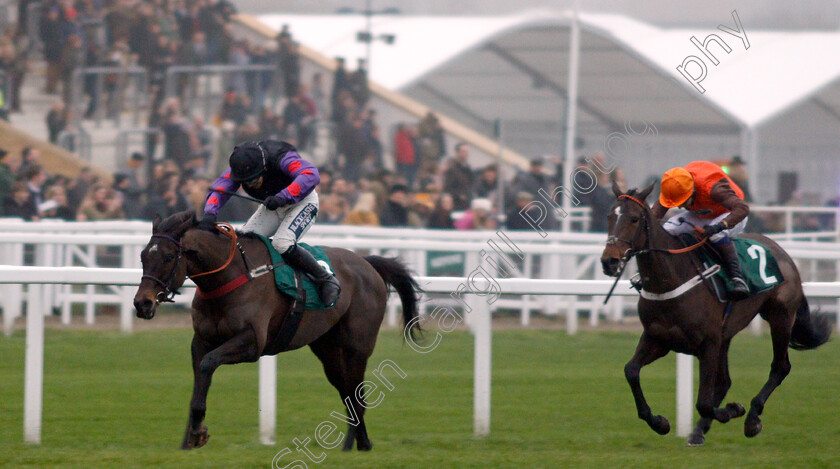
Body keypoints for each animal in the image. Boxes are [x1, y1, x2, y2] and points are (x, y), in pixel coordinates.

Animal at [134, 211, 420, 450]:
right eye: (143, 256)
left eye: (168, 257)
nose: (142, 303)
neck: (231, 276)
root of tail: (367, 262)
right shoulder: (201, 340)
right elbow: (199, 380)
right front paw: (192, 437)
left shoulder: (252, 342)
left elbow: (208, 364)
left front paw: (197, 434)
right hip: (328, 349)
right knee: (346, 391)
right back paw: (352, 444)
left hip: (357, 348)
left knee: (357, 394)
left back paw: (363, 444)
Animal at [600, 181, 832, 444]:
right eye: (610, 216)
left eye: (635, 218)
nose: (609, 261)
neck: (670, 279)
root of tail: (784, 253)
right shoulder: (657, 338)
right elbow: (631, 371)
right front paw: (659, 422)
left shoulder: (707, 343)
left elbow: (703, 402)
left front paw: (733, 410)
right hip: (727, 334)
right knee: (725, 381)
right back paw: (700, 430)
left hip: (780, 317)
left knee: (780, 366)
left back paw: (752, 418)